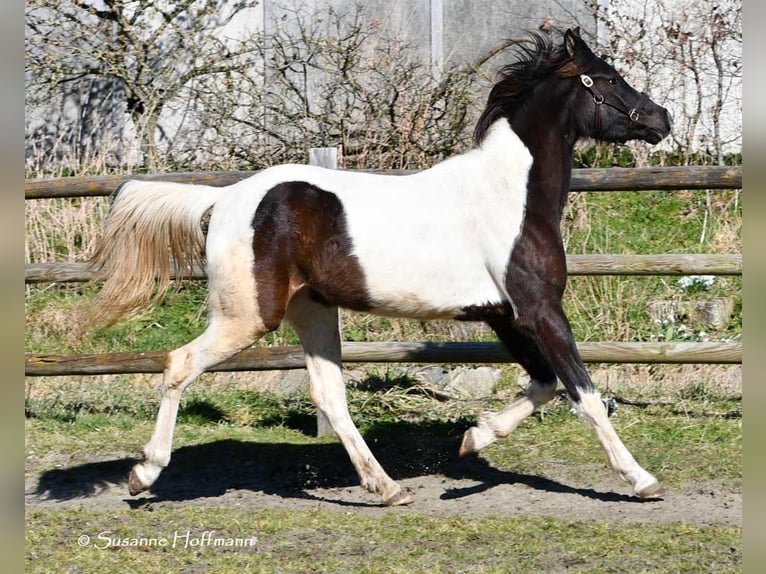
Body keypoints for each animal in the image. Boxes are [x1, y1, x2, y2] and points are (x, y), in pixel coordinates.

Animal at [87, 28, 672, 506]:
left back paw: (387, 487)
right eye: (609, 78)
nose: (661, 119)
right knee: (179, 364)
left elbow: (546, 383)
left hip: (312, 310)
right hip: (248, 315)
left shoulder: (504, 314)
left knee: (329, 395)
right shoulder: (539, 310)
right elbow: (584, 394)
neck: (511, 195)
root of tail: (228, 197)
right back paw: (144, 474)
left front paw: (472, 439)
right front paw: (641, 480)